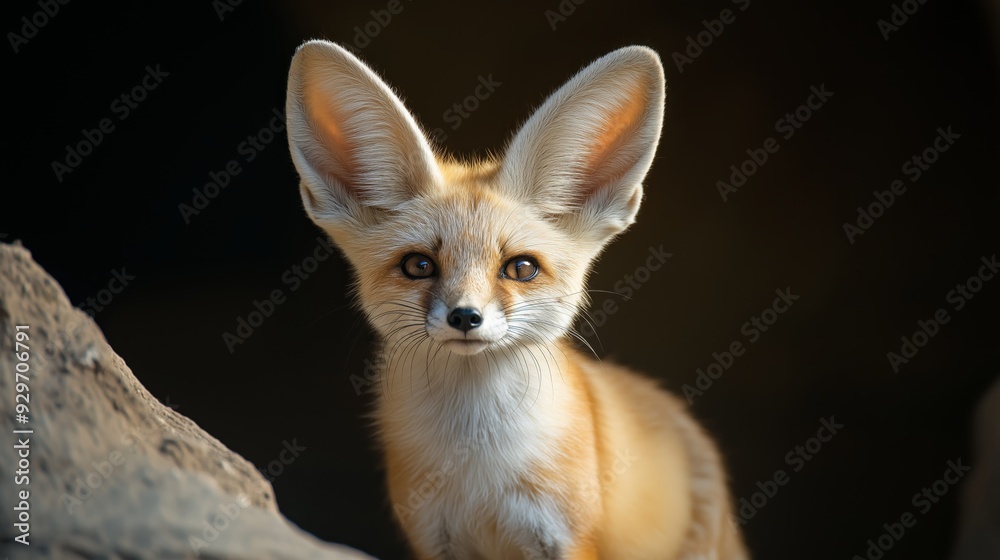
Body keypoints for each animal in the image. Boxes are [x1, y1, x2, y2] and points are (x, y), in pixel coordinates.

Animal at [285, 40, 749, 560]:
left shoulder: (565, 536)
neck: (478, 467)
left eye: (521, 268)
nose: (465, 316)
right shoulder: (434, 538)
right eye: (418, 265)